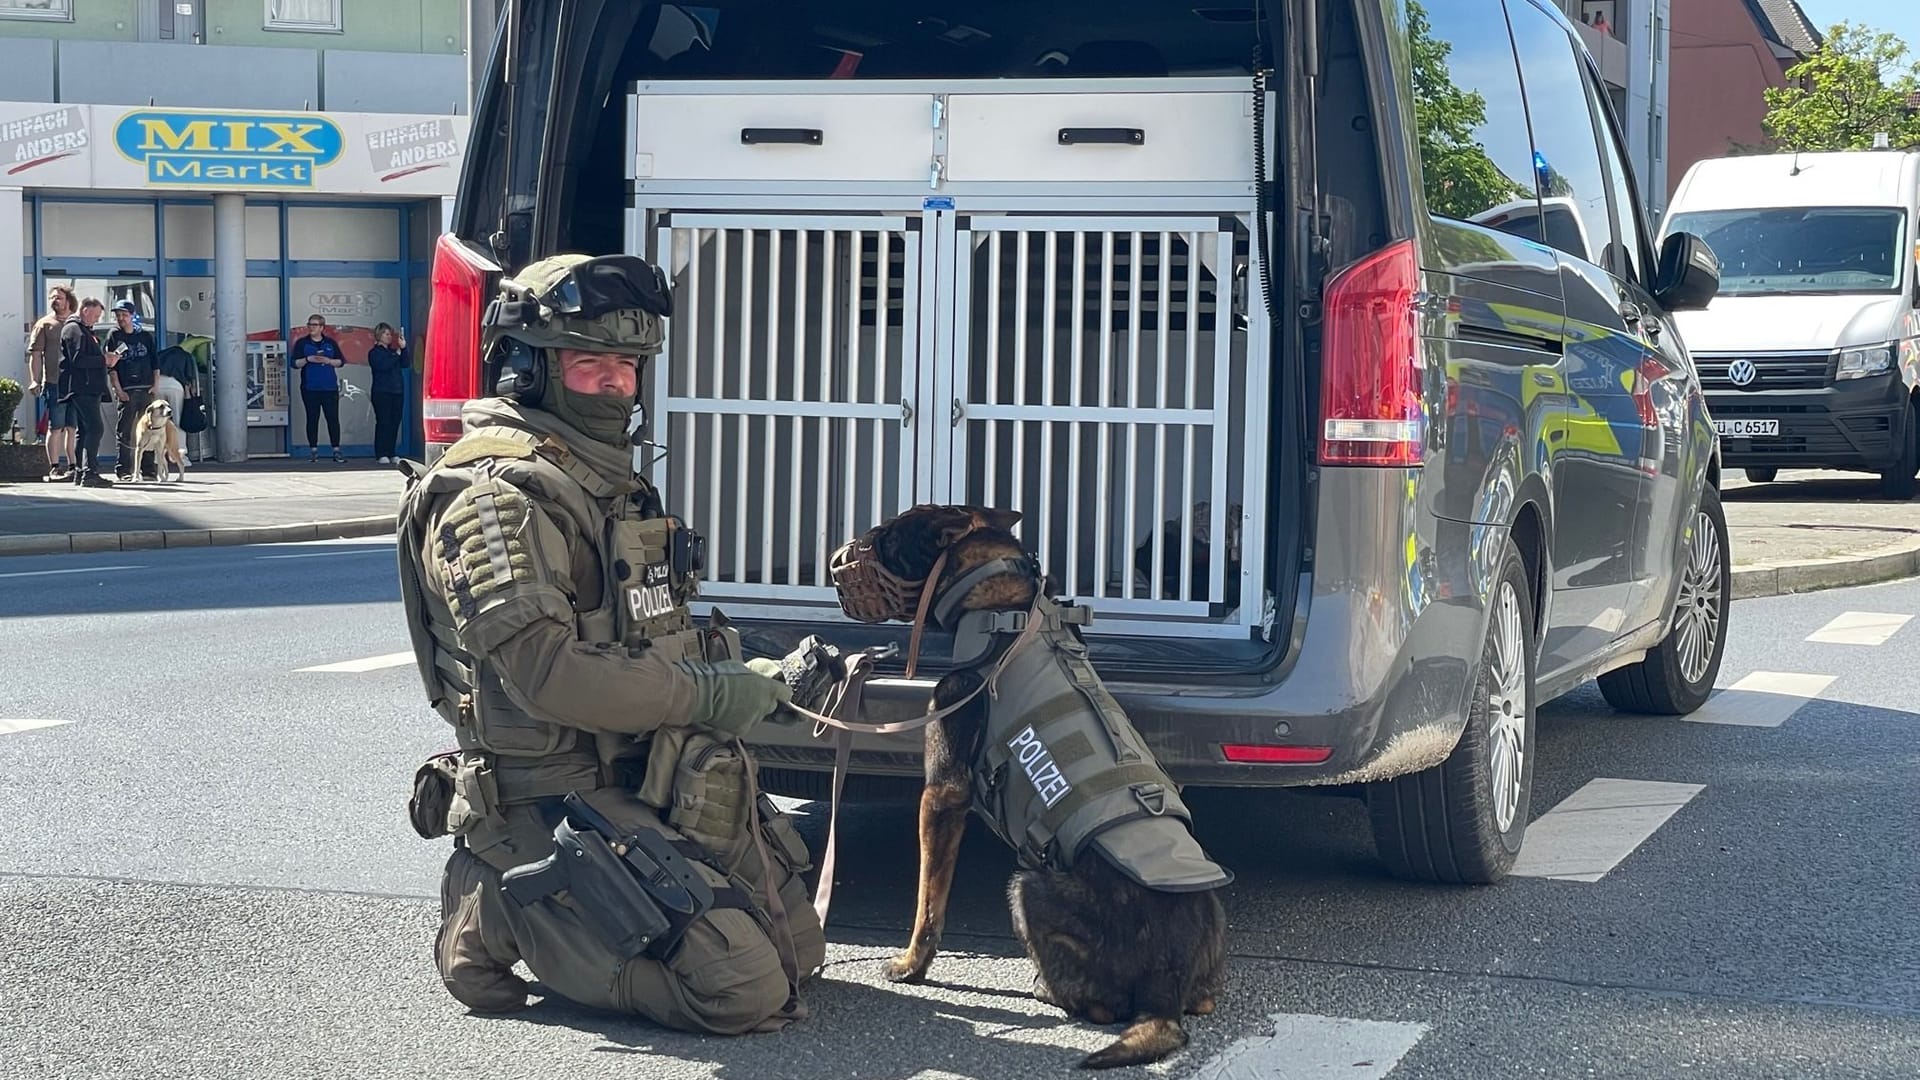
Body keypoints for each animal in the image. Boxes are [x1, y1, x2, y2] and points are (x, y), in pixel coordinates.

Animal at [871, 503, 1228, 1068]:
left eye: (889, 536)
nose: (855, 545)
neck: (1002, 604)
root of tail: (1163, 986)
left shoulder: (941, 796)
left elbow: (928, 903)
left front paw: (910, 966)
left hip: (1027, 887)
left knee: (1098, 1006)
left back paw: (1047, 988)